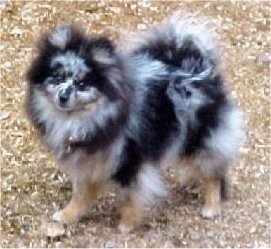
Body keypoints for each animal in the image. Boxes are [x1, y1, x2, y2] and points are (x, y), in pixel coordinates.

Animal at [26, 11, 244, 232]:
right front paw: (68, 215)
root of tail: (195, 66)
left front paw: (126, 224)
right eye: (57, 77)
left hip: (200, 136)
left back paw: (211, 206)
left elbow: (129, 196)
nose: (62, 96)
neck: (83, 121)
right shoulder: (86, 161)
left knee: (212, 173)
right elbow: (80, 193)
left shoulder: (130, 160)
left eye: (81, 83)